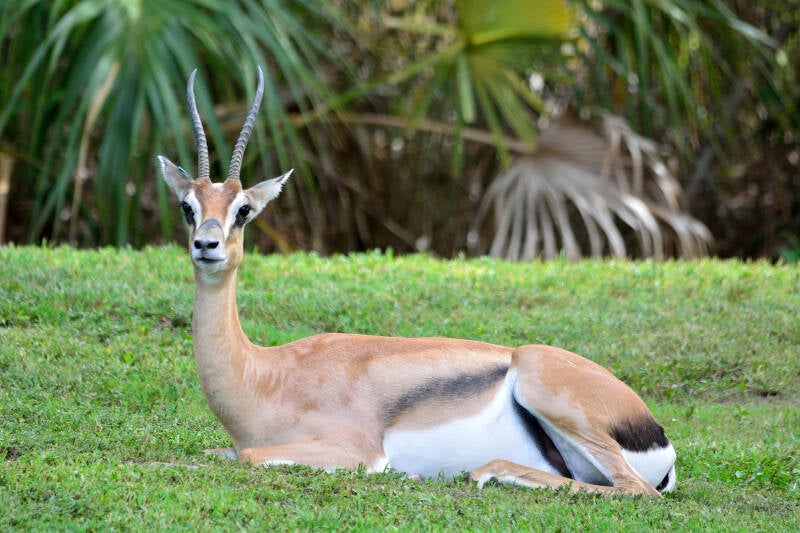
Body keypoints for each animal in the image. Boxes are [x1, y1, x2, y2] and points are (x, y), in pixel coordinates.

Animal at [157, 68, 677, 496]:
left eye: (243, 210)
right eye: (188, 206)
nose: (206, 245)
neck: (265, 376)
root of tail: (657, 435)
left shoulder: (357, 450)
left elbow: (246, 456)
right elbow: (211, 454)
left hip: (546, 387)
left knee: (635, 491)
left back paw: (484, 472)